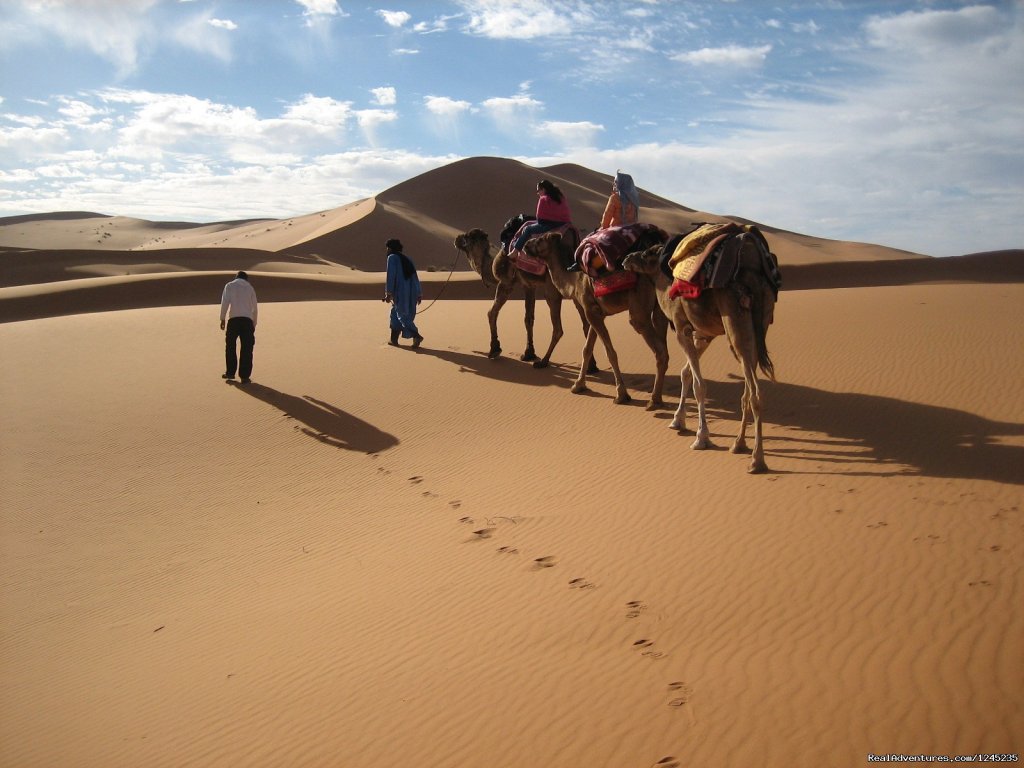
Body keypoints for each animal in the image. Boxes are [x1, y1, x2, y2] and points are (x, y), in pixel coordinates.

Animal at [456, 227, 593, 368]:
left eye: (467, 237)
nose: (457, 239)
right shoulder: (529, 285)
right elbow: (529, 318)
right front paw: (529, 353)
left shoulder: (506, 283)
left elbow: (491, 313)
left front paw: (495, 349)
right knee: (586, 323)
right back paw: (592, 366)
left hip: (552, 288)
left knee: (559, 328)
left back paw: (544, 361)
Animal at [520, 227, 671, 411]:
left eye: (541, 239)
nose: (526, 244)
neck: (574, 280)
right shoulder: (594, 312)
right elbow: (586, 349)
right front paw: (578, 385)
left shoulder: (591, 312)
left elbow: (610, 352)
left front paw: (621, 395)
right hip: (659, 309)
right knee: (664, 347)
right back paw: (658, 398)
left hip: (639, 311)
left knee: (658, 349)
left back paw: (653, 401)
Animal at [618, 234, 778, 475]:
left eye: (646, 253)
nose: (626, 258)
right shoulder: (704, 335)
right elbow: (685, 373)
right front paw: (677, 421)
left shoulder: (681, 328)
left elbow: (699, 384)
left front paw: (701, 438)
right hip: (760, 324)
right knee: (747, 390)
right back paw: (738, 444)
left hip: (736, 322)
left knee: (756, 393)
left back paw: (757, 460)